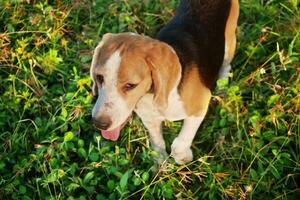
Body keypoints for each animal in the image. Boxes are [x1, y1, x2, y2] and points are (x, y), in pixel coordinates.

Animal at [90, 0, 240, 164]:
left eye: (130, 85)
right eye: (99, 77)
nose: (99, 123)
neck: (151, 96)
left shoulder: (200, 105)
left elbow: (179, 145)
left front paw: (183, 157)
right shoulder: (149, 119)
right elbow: (157, 143)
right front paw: (160, 162)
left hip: (229, 41)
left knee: (226, 64)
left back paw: (222, 86)